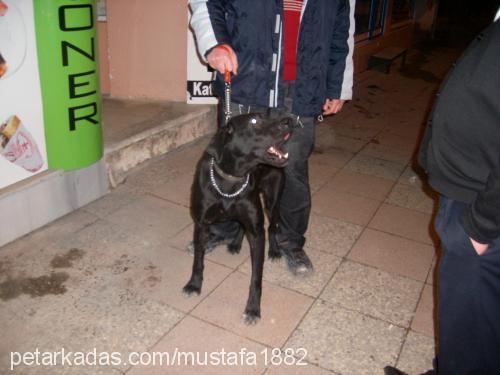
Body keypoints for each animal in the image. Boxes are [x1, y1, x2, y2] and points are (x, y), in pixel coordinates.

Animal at [182, 113, 292, 324]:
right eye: (254, 121)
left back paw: (274, 250)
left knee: (272, 226)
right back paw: (235, 244)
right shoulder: (201, 224)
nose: (289, 120)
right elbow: (198, 261)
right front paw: (194, 285)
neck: (231, 180)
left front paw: (253, 309)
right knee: (241, 224)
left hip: (272, 200)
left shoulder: (257, 232)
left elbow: (256, 277)